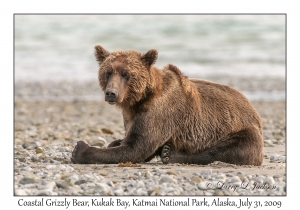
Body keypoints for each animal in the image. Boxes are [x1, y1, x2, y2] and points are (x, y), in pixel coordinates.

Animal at [71, 44, 264, 166]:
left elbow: (136, 148)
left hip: (237, 128)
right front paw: (115, 141)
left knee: (233, 149)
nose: (111, 93)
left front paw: (79, 149)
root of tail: (253, 109)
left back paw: (170, 153)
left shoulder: (159, 113)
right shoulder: (131, 115)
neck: (138, 101)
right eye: (108, 72)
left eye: (126, 74)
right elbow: (128, 141)